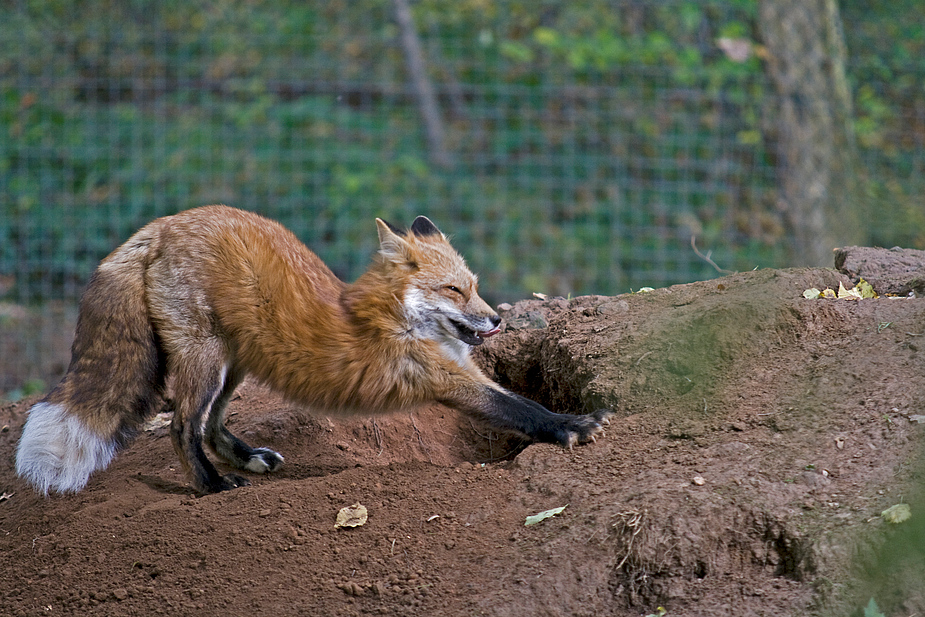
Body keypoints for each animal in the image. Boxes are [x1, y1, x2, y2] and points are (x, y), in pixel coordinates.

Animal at [14, 207, 608, 496]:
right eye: (454, 290)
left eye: (476, 287)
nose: (497, 319)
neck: (398, 318)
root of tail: (163, 225)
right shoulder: (442, 378)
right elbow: (520, 408)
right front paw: (572, 426)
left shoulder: (461, 372)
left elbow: (517, 402)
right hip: (207, 362)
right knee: (183, 426)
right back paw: (211, 487)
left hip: (235, 364)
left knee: (209, 424)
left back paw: (245, 459)